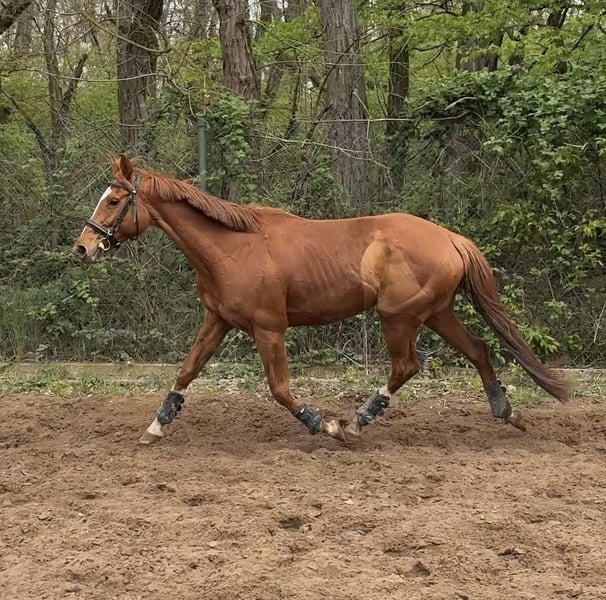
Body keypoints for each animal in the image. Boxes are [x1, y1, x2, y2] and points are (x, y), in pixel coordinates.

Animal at [72, 155, 571, 444]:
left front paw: (323, 423)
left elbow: (279, 388)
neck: (232, 248)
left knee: (406, 366)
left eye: (113, 200)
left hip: (399, 316)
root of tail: (451, 238)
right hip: (436, 312)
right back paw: (506, 413)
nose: (82, 248)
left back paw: (356, 420)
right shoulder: (218, 320)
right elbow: (187, 370)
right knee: (479, 350)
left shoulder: (268, 328)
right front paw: (157, 425)